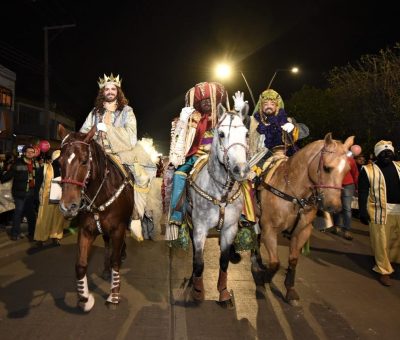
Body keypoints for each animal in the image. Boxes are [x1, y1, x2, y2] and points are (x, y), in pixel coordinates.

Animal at [57, 125, 134, 310]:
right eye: (59, 162)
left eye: (85, 161)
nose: (68, 206)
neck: (100, 194)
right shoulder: (86, 230)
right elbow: (80, 265)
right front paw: (85, 298)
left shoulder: (118, 228)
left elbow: (115, 260)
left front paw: (114, 296)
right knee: (107, 246)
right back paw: (106, 270)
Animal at [186, 103, 248, 306]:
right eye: (221, 134)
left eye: (246, 134)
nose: (240, 170)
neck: (220, 194)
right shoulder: (199, 228)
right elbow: (199, 262)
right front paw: (198, 291)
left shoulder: (230, 229)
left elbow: (224, 261)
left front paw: (223, 292)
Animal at [253, 133, 354, 306]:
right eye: (326, 167)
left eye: (347, 170)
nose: (334, 207)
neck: (293, 193)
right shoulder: (269, 230)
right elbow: (275, 263)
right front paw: (262, 278)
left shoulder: (302, 232)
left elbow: (293, 260)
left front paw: (290, 290)